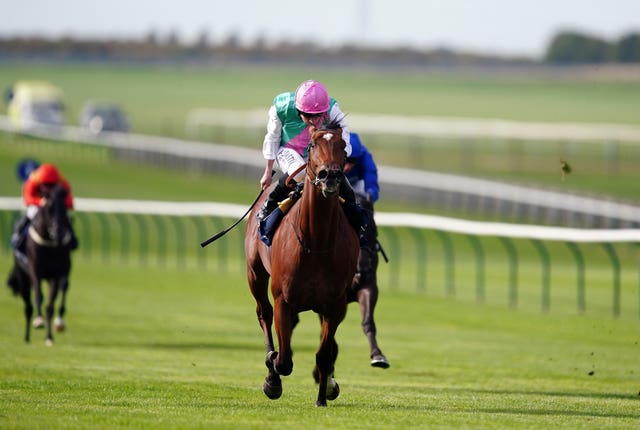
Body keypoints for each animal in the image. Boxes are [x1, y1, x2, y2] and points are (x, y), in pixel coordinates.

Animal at [6, 183, 72, 344]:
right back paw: (27, 337)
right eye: (48, 208)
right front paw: (39, 321)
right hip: (23, 277)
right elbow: (38, 295)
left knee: (63, 288)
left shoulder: (56, 274)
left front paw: (49, 337)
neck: (49, 243)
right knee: (28, 306)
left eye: (64, 207)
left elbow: (51, 304)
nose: (58, 232)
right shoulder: (35, 270)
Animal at [245, 120, 360, 406]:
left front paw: (324, 395)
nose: (330, 176)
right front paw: (272, 377)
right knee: (263, 313)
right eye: (312, 145)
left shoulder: (335, 305)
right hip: (255, 273)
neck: (316, 242)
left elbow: (325, 354)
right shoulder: (283, 300)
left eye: (343, 145)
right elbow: (284, 360)